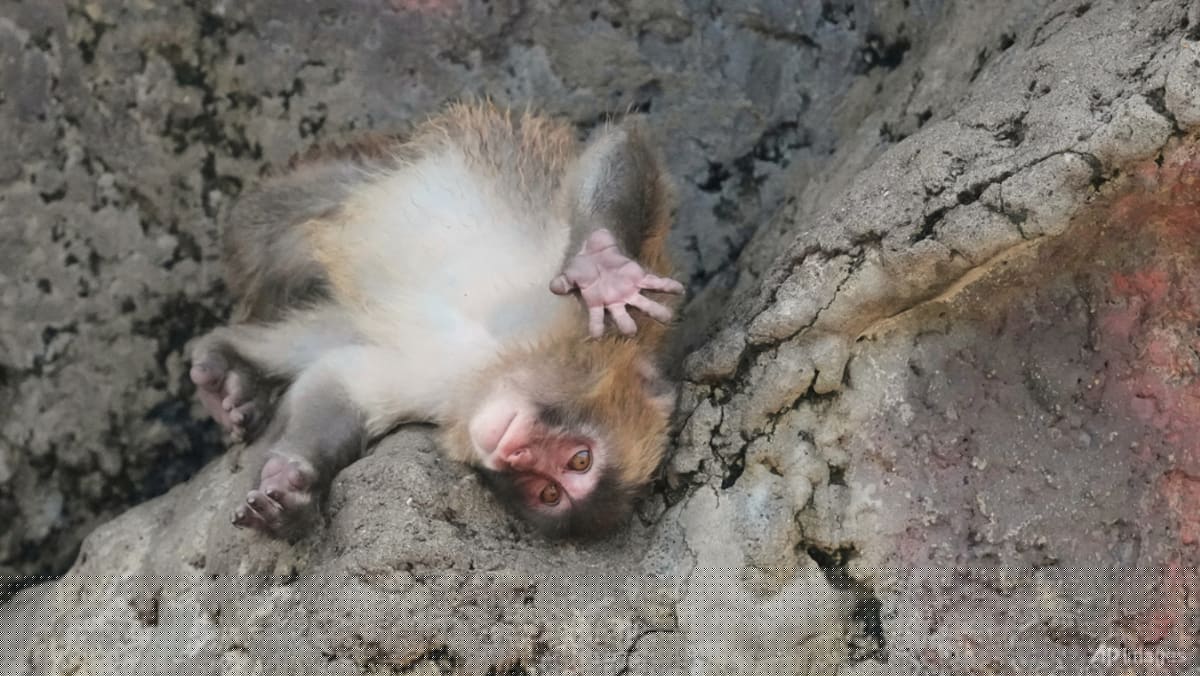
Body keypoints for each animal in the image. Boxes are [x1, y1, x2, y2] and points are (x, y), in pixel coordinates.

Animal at [188, 103, 684, 538]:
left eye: (549, 491)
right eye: (580, 459)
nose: (516, 454)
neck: (501, 358)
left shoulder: (441, 400)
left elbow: (340, 383)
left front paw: (292, 486)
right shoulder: (597, 323)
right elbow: (620, 145)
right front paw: (603, 270)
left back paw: (233, 370)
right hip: (362, 172)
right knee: (270, 227)